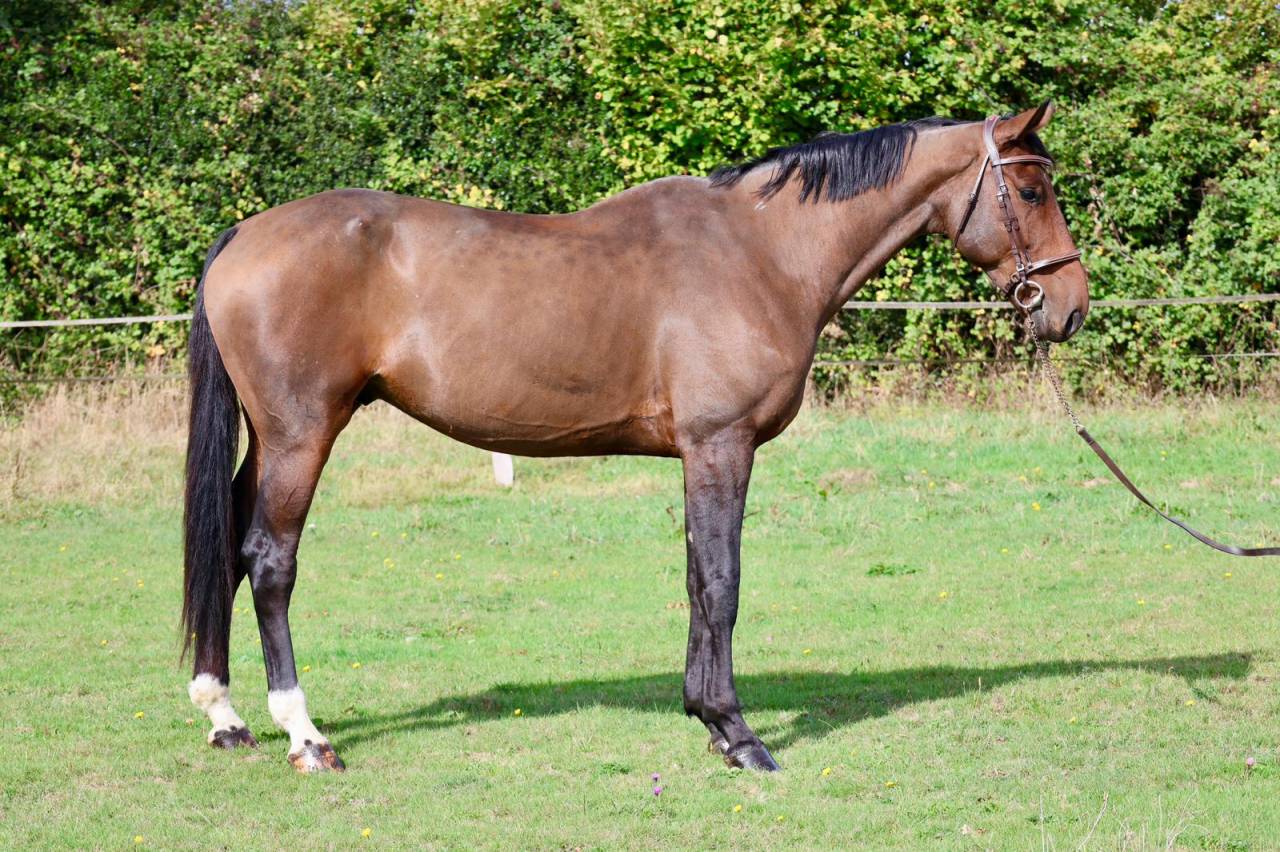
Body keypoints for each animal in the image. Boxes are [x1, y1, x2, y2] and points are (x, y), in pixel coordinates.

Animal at [182, 102, 1088, 773]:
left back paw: (224, 716)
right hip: (302, 434)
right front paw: (740, 735)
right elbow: (721, 582)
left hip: (270, 440)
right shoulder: (722, 445)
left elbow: (694, 581)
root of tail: (244, 235)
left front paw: (709, 720)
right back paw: (305, 736)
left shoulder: (700, 454)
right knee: (270, 560)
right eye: (1031, 191)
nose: (1070, 306)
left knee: (227, 547)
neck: (763, 253)